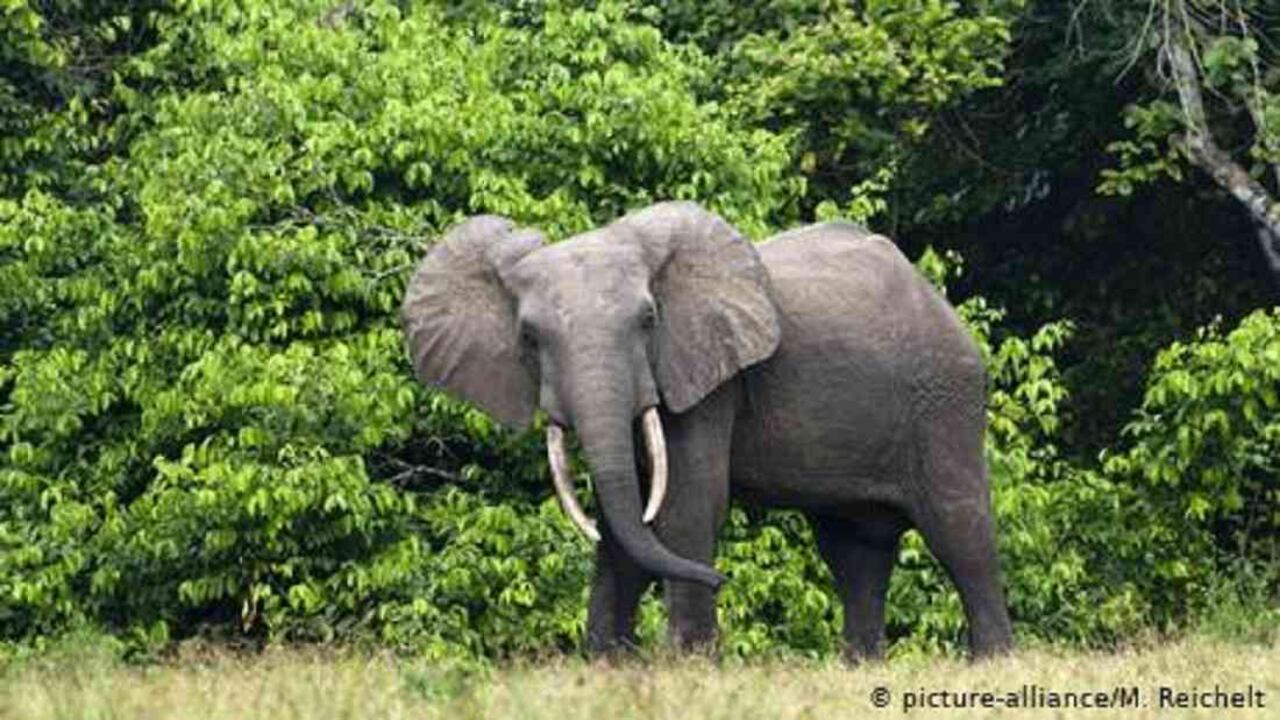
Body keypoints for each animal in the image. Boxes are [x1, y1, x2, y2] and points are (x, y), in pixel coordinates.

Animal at [401, 201, 1014, 660]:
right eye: (528, 337)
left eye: (649, 320)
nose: (721, 580)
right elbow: (627, 517)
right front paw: (607, 667)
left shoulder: (707, 378)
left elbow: (686, 504)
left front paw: (688, 663)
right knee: (853, 549)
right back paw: (859, 668)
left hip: (943, 396)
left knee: (958, 526)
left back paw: (992, 664)